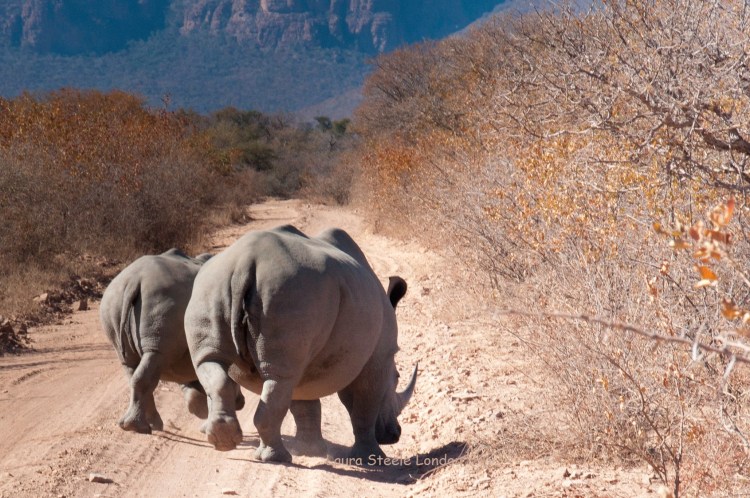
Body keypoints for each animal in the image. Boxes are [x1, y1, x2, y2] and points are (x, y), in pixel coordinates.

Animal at [100, 248, 245, 434]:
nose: (241, 402)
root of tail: (133, 281)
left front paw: (200, 410)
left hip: (114, 303)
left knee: (131, 364)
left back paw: (144, 426)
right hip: (158, 299)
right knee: (153, 357)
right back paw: (140, 427)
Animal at [184, 225, 417, 463]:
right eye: (397, 377)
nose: (394, 435)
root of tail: (243, 264)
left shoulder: (307, 356)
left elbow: (304, 402)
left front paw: (310, 451)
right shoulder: (380, 357)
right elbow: (366, 405)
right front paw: (371, 458)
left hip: (213, 286)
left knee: (213, 363)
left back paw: (225, 442)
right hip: (289, 290)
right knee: (279, 378)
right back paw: (275, 458)